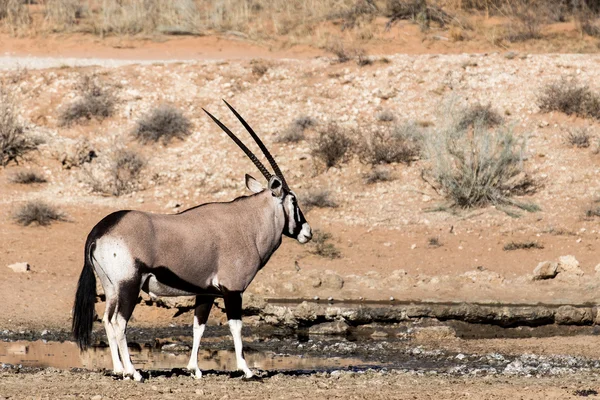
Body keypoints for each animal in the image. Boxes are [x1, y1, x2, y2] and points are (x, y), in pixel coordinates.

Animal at [72, 100, 312, 382]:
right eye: (293, 201)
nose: (307, 232)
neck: (248, 223)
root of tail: (99, 231)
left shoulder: (205, 292)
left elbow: (199, 327)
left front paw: (194, 369)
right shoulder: (233, 290)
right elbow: (236, 327)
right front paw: (246, 369)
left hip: (112, 288)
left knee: (108, 321)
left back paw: (119, 369)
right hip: (129, 285)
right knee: (120, 322)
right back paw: (134, 372)